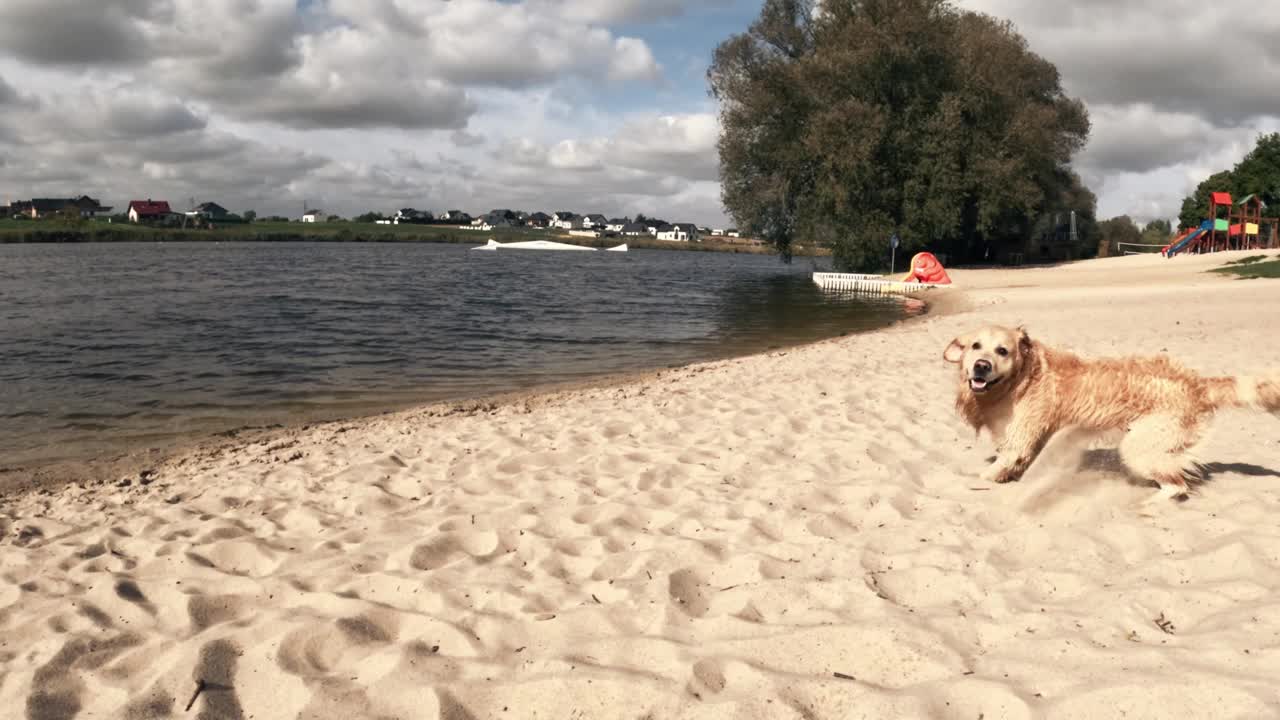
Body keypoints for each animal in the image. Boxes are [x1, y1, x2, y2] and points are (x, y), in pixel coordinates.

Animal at [942, 324, 1280, 499]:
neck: (1019, 380)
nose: (980, 367)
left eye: (1002, 351)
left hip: (1138, 447)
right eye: (975, 346)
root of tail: (1196, 382)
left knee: (1176, 486)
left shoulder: (1019, 440)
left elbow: (991, 471)